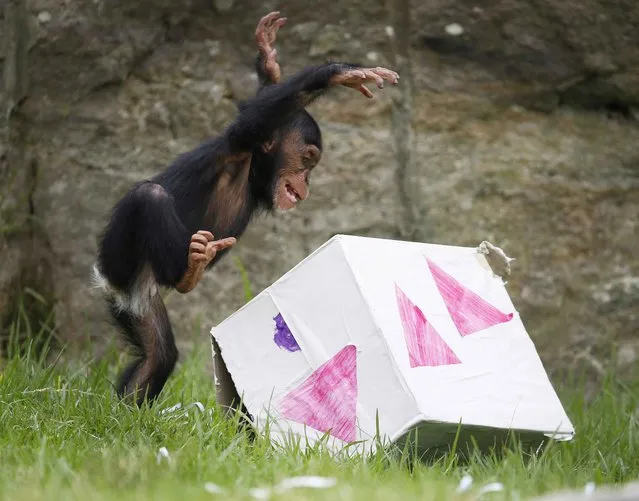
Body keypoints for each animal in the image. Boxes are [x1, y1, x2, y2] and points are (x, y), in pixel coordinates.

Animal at [92, 12, 400, 406]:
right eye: (308, 159)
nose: (308, 180)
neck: (253, 169)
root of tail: (107, 281)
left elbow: (270, 96)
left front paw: (269, 62)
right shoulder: (240, 141)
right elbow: (259, 114)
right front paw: (341, 72)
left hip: (139, 300)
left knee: (156, 353)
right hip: (121, 255)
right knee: (150, 196)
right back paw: (188, 272)